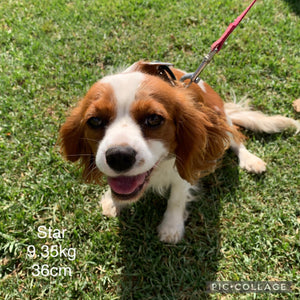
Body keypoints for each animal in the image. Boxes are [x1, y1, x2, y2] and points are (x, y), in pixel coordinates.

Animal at [59, 61, 300, 244]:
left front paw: (171, 227)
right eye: (95, 121)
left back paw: (250, 160)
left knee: (237, 140)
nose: (119, 156)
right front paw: (113, 200)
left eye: (154, 119)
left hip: (221, 119)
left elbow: (177, 196)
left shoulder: (188, 162)